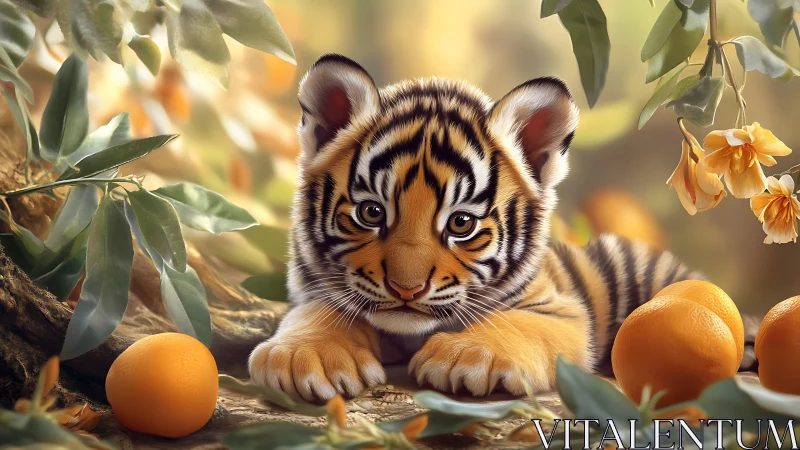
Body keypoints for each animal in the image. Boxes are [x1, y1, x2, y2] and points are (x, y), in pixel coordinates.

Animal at [248, 53, 756, 402]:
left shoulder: (560, 309)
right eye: (371, 213)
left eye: (461, 223)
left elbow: (514, 321)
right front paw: (305, 356)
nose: (406, 290)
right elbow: (318, 311)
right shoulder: (312, 290)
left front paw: (468, 356)